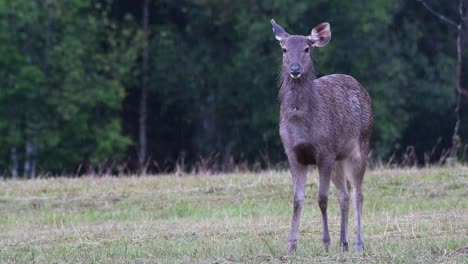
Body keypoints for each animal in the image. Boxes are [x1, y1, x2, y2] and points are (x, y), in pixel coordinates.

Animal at [270, 18, 372, 254]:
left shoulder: (324, 151)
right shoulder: (293, 153)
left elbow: (322, 198)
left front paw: (326, 242)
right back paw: (344, 243)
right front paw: (291, 246)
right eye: (284, 49)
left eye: (307, 48)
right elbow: (297, 199)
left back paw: (358, 244)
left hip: (360, 147)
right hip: (338, 158)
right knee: (344, 195)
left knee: (358, 194)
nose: (295, 69)